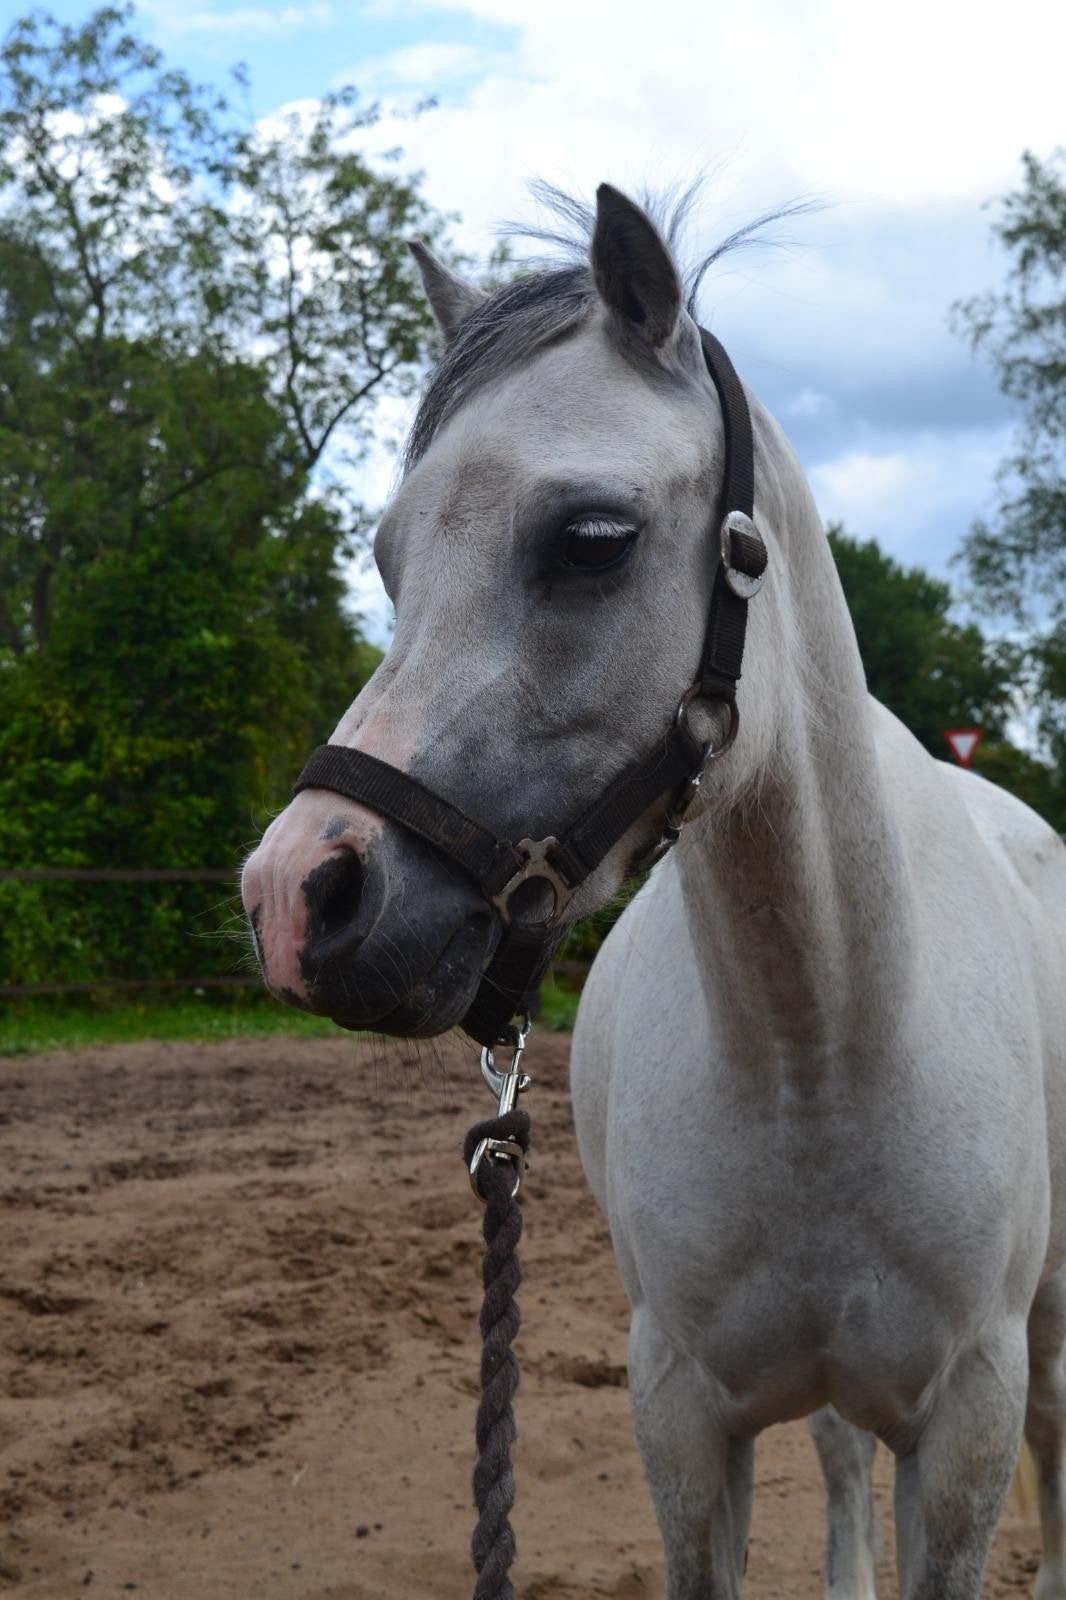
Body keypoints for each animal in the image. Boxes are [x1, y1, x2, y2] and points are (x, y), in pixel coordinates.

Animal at [240, 181, 1066, 1599]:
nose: (296, 895)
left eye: (591, 539)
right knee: (840, 1461)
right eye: (389, 560)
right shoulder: (679, 1415)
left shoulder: (968, 1427)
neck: (822, 1044)